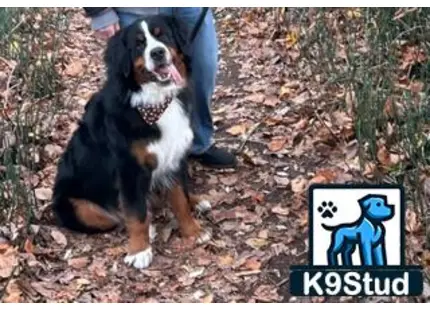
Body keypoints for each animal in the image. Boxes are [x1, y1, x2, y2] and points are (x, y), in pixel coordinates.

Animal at [51, 14, 212, 268]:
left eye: (163, 36)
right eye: (138, 44)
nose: (157, 53)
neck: (155, 102)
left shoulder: (173, 157)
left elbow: (179, 199)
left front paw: (193, 231)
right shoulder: (129, 168)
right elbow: (135, 214)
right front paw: (139, 250)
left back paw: (195, 202)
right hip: (76, 207)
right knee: (117, 217)